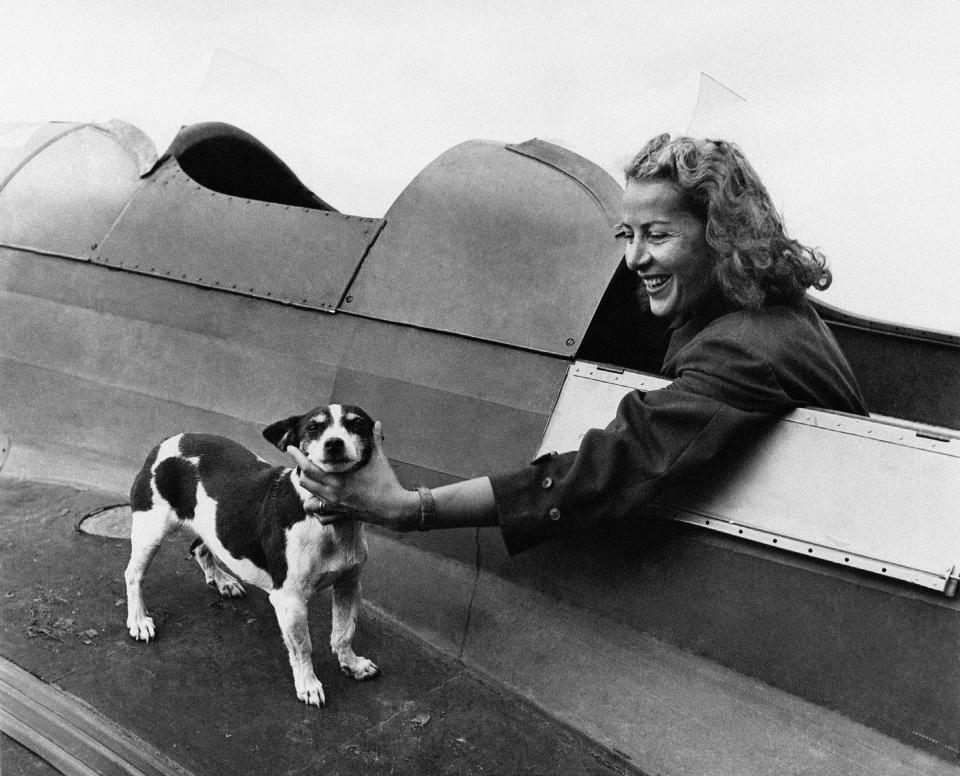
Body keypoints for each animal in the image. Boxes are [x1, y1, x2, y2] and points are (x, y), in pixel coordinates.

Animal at [124, 406, 382, 708]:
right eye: (313, 428)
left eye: (356, 425)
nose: (334, 443)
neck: (331, 522)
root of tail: (168, 441)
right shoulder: (290, 600)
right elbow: (303, 646)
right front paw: (308, 684)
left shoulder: (349, 584)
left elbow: (344, 632)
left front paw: (352, 664)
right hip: (150, 530)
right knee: (133, 575)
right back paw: (139, 621)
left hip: (212, 523)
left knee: (200, 548)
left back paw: (223, 581)